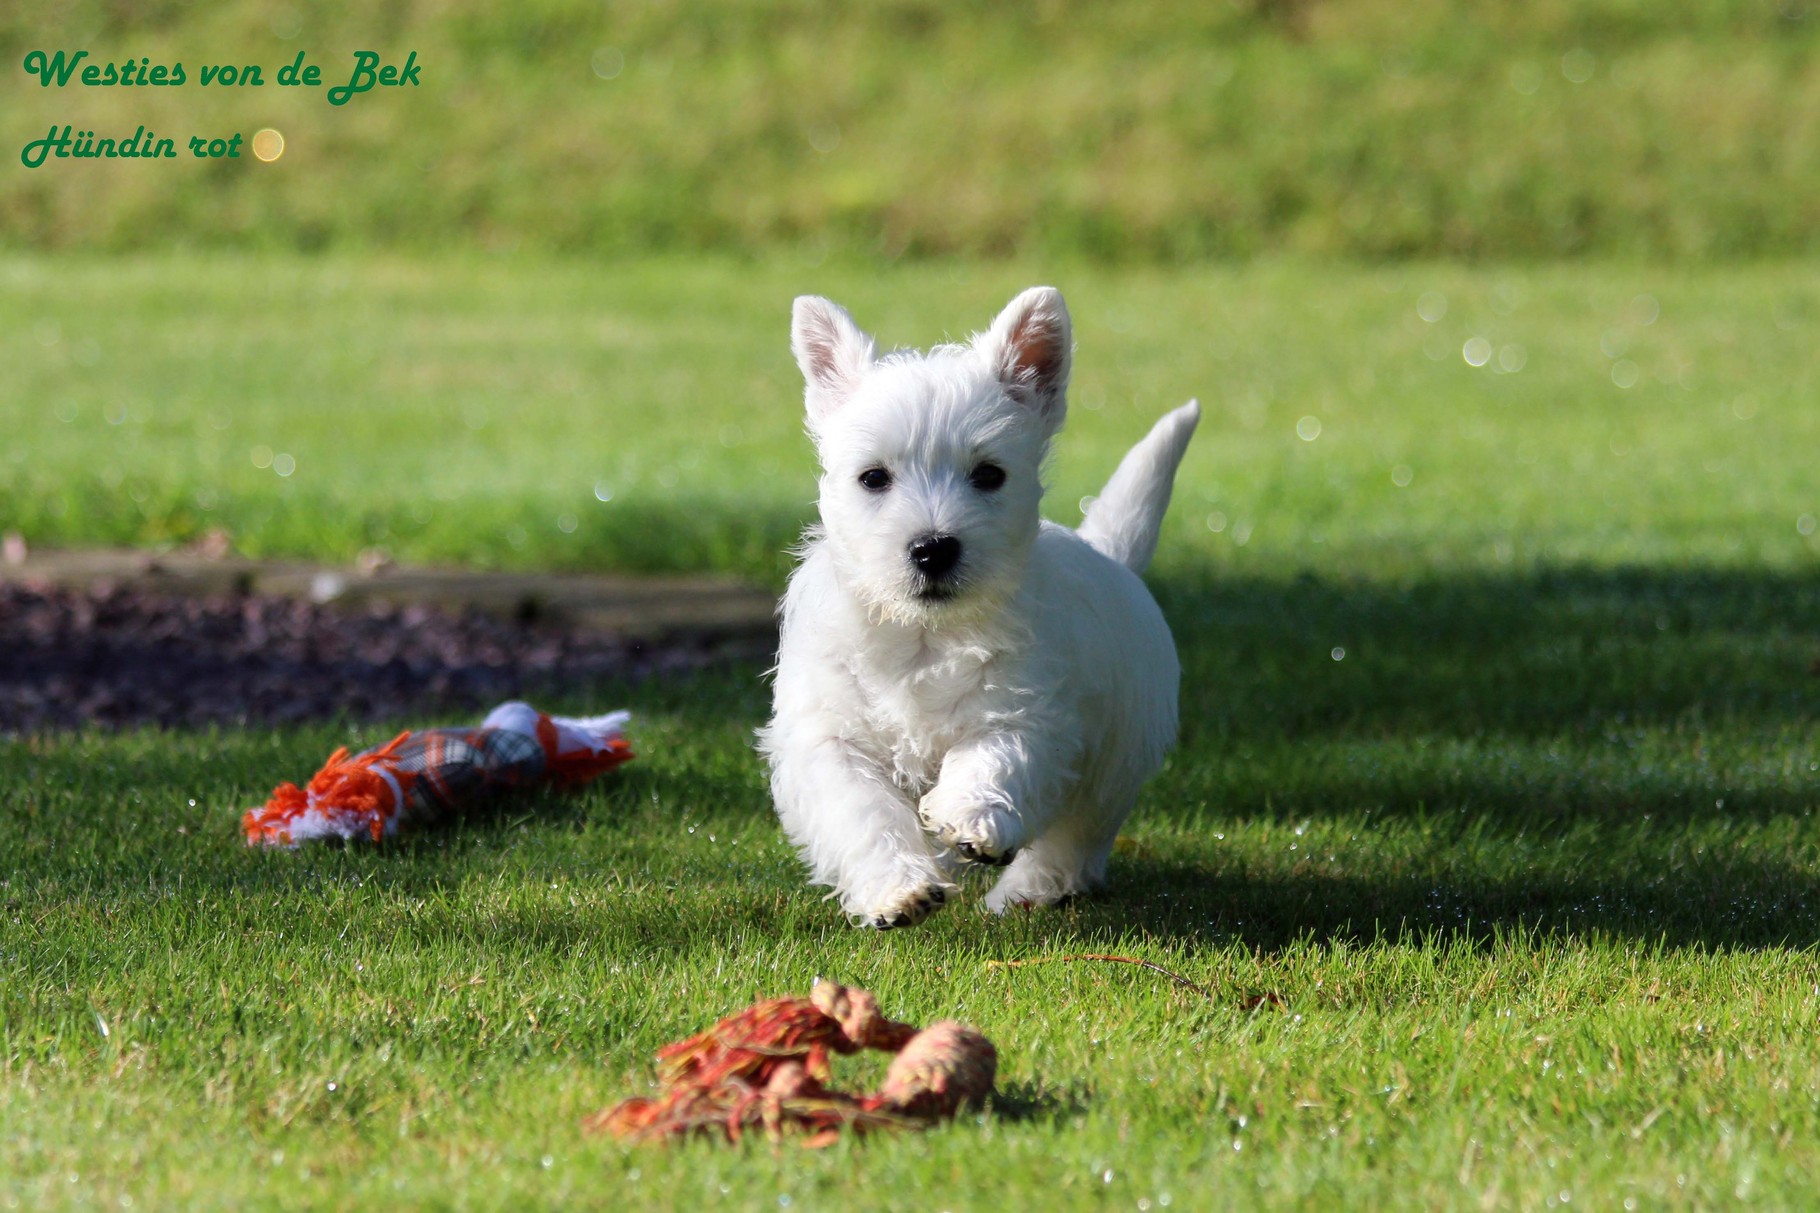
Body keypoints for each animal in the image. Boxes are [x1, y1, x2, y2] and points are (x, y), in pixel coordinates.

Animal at [753, 285, 1193, 925]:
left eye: (988, 474)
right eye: (873, 477)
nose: (933, 548)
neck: (923, 637)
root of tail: (1109, 552)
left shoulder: (1024, 714)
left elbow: (992, 759)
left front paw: (970, 817)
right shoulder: (830, 738)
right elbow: (863, 813)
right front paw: (898, 888)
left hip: (1115, 758)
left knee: (1074, 840)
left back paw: (1024, 892)